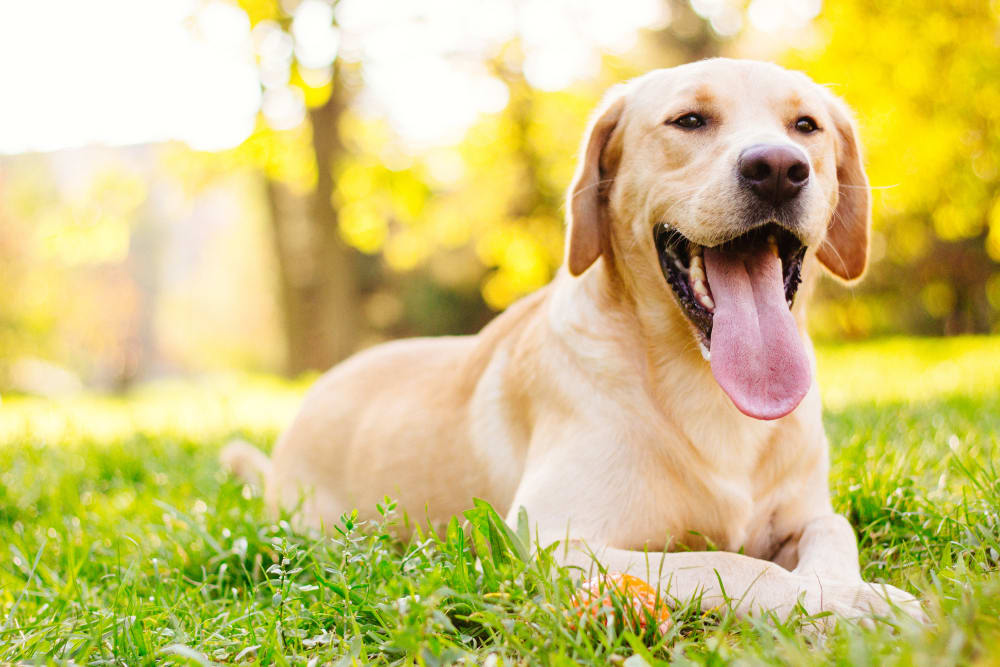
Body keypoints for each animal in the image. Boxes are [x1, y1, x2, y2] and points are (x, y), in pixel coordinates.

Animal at [223, 58, 924, 628]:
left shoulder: (807, 513)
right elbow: (729, 564)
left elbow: (833, 532)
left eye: (807, 126)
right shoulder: (555, 541)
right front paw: (849, 601)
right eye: (690, 120)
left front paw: (845, 589)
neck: (704, 382)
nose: (777, 168)